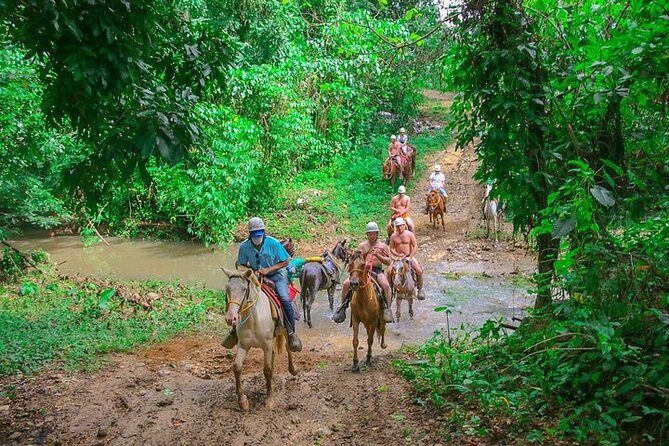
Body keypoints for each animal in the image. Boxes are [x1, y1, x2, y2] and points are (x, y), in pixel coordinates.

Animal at [222, 268, 294, 412]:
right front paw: (242, 401)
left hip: (283, 331)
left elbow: (267, 370)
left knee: (288, 347)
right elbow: (237, 368)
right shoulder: (243, 345)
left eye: (244, 289)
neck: (253, 319)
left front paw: (270, 399)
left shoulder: (266, 345)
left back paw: (293, 368)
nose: (231, 318)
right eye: (227, 288)